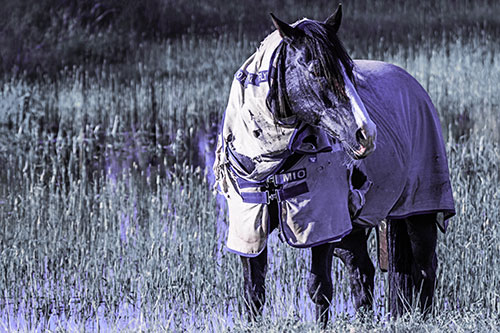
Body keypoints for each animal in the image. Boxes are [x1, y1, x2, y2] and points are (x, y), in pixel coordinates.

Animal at [213, 4, 456, 326]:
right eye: (317, 70)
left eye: (350, 70)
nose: (366, 134)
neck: (274, 162)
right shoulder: (251, 226)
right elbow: (254, 291)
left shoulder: (322, 226)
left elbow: (319, 288)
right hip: (353, 230)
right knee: (362, 271)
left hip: (419, 212)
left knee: (426, 267)